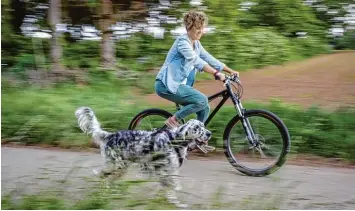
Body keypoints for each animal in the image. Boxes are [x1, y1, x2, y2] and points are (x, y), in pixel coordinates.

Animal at [74, 106, 211, 209]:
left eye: (203, 126)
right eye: (197, 128)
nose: (209, 133)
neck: (174, 140)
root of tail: (110, 135)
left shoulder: (169, 171)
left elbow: (169, 187)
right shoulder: (163, 170)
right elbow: (171, 188)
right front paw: (176, 202)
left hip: (122, 167)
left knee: (108, 179)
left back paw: (112, 192)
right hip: (117, 165)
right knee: (101, 175)